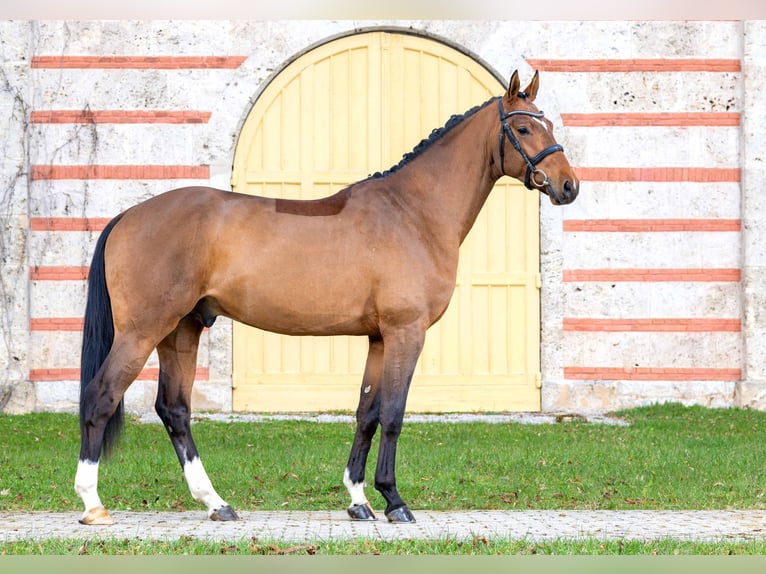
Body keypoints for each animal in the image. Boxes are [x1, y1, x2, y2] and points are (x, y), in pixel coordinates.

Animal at [75, 70, 579, 526]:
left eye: (549, 124)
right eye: (523, 128)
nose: (568, 186)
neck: (413, 213)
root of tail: (128, 215)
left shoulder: (379, 338)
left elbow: (367, 413)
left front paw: (359, 500)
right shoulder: (406, 332)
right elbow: (393, 413)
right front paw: (394, 501)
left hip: (182, 330)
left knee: (174, 409)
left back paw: (216, 503)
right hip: (143, 330)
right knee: (101, 396)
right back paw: (93, 505)